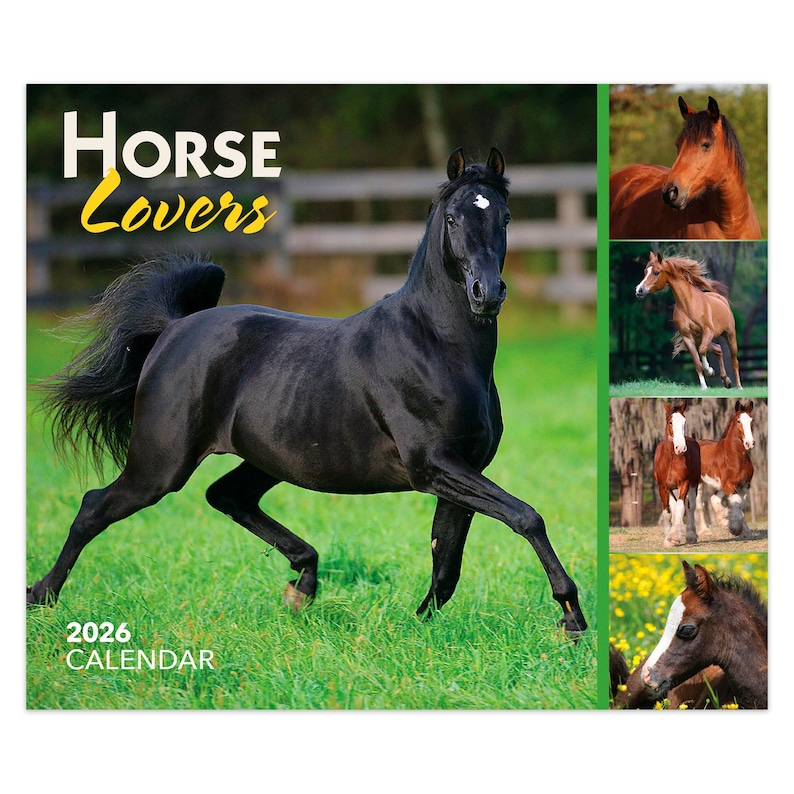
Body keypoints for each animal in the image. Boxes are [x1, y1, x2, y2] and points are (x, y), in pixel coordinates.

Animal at [26, 147, 587, 636]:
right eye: (452, 218)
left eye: (506, 218)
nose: (486, 294)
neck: (436, 344)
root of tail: (173, 329)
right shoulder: (434, 466)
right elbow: (526, 517)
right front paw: (571, 618)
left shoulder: (462, 470)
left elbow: (446, 563)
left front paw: (415, 627)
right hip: (160, 464)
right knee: (95, 506)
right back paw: (41, 595)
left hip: (265, 458)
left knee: (226, 496)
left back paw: (303, 585)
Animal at [634, 252, 742, 390]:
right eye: (645, 271)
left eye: (657, 272)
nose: (639, 290)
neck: (688, 305)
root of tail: (721, 299)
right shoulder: (687, 337)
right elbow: (697, 362)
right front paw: (704, 386)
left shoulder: (708, 331)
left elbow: (702, 350)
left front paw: (709, 370)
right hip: (699, 339)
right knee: (718, 349)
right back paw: (726, 381)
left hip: (730, 335)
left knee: (734, 361)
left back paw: (738, 386)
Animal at [653, 402, 701, 547]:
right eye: (670, 422)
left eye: (684, 422)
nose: (681, 448)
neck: (671, 459)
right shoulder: (662, 487)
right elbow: (667, 513)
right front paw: (667, 540)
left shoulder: (684, 483)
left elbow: (681, 507)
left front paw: (674, 538)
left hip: (694, 483)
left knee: (691, 506)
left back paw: (691, 536)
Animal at [695, 401, 755, 539]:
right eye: (738, 421)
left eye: (752, 420)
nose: (750, 443)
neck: (734, 457)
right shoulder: (729, 485)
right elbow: (737, 503)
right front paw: (735, 529)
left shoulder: (744, 485)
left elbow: (741, 506)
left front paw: (744, 531)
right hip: (699, 483)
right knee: (700, 504)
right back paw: (705, 531)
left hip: (720, 485)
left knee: (714, 498)